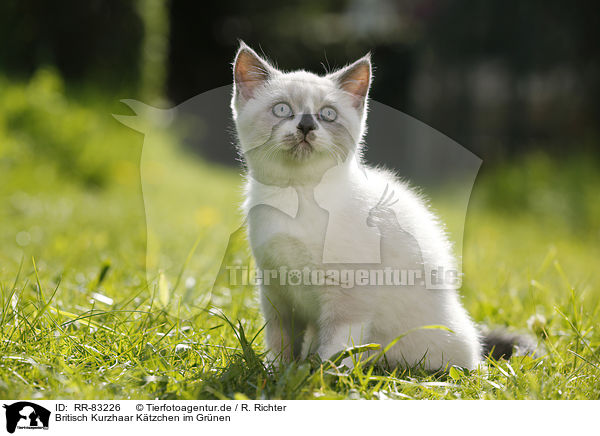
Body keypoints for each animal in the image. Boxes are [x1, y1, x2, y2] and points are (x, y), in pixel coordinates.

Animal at [232, 42, 528, 370]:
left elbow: (336, 348)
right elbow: (280, 341)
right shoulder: (276, 291)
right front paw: (274, 372)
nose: (307, 125)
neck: (297, 193)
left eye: (327, 114)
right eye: (282, 109)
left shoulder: (348, 294)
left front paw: (322, 377)